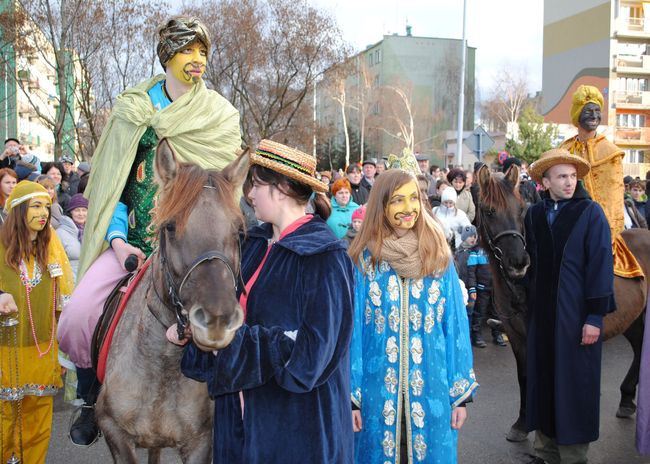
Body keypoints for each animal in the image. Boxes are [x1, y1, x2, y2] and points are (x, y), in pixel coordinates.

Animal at [95, 140, 248, 462]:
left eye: (239, 232)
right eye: (170, 227)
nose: (217, 321)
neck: (162, 363)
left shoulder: (201, 442)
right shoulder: (115, 433)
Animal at [474, 164, 648, 442]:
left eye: (520, 209)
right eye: (490, 211)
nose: (519, 262)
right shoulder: (516, 336)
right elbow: (524, 376)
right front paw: (521, 424)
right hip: (632, 319)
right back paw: (627, 398)